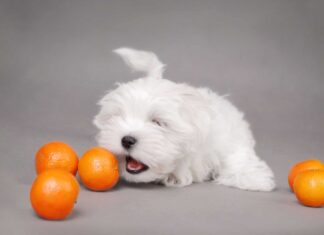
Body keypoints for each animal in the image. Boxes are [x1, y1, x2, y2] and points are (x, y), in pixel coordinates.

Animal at [92, 47, 274, 191]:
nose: (127, 140)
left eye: (157, 123)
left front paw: (253, 178)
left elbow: (236, 157)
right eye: (117, 117)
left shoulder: (227, 140)